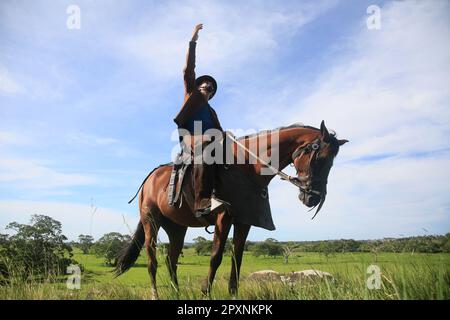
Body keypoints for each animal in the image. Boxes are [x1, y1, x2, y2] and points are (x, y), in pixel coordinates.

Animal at [113, 120, 348, 298]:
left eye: (331, 163)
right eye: (320, 159)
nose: (313, 198)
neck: (247, 166)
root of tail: (149, 181)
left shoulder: (244, 221)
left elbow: (237, 258)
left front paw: (233, 293)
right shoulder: (223, 218)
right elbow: (216, 256)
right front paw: (205, 293)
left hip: (177, 228)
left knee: (171, 261)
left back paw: (176, 293)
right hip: (150, 222)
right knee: (152, 261)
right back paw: (156, 293)